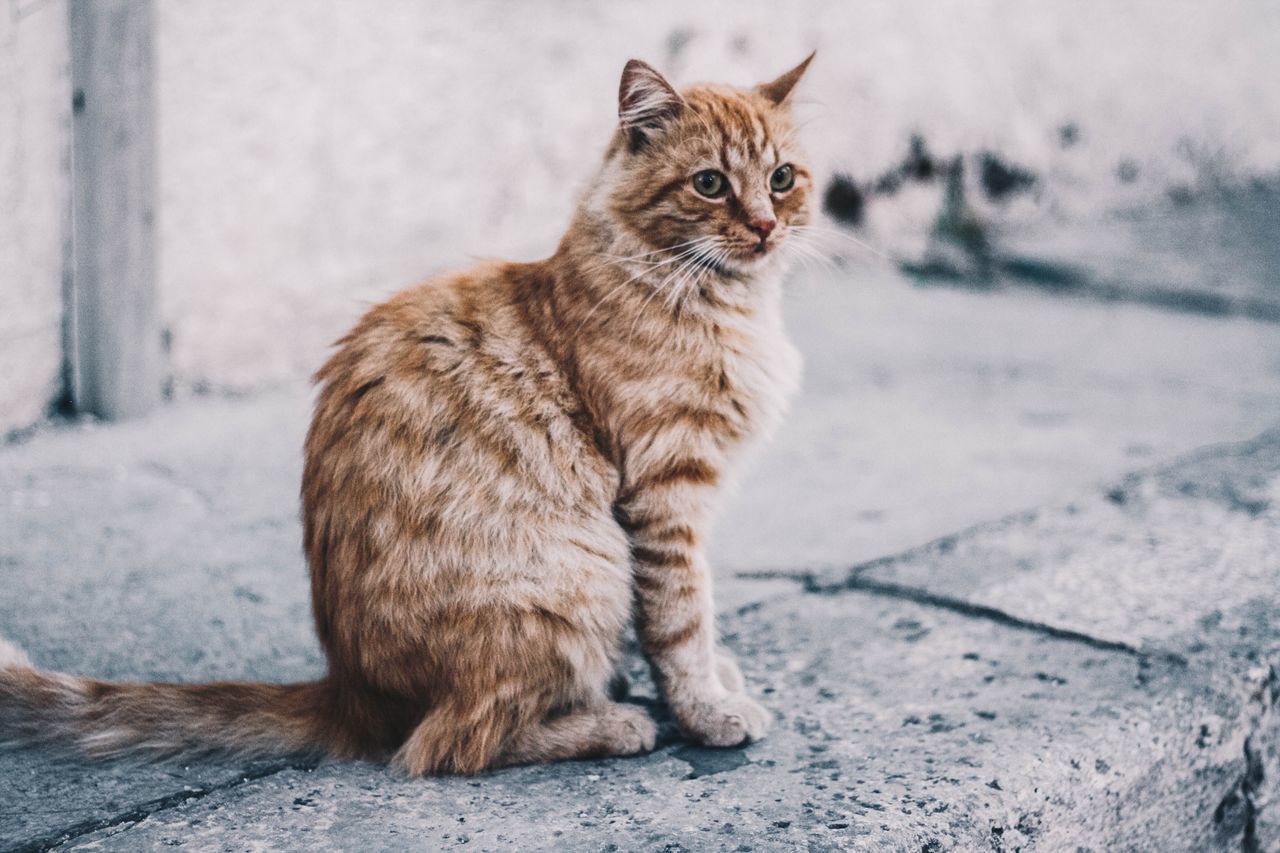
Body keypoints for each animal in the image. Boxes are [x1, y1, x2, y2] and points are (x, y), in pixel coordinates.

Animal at [0, 51, 814, 768]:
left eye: (781, 178)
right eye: (709, 183)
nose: (765, 226)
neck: (722, 304)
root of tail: (350, 691)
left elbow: (687, 621)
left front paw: (715, 681)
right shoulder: (664, 495)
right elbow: (681, 618)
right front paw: (706, 709)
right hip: (579, 576)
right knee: (447, 745)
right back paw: (612, 723)